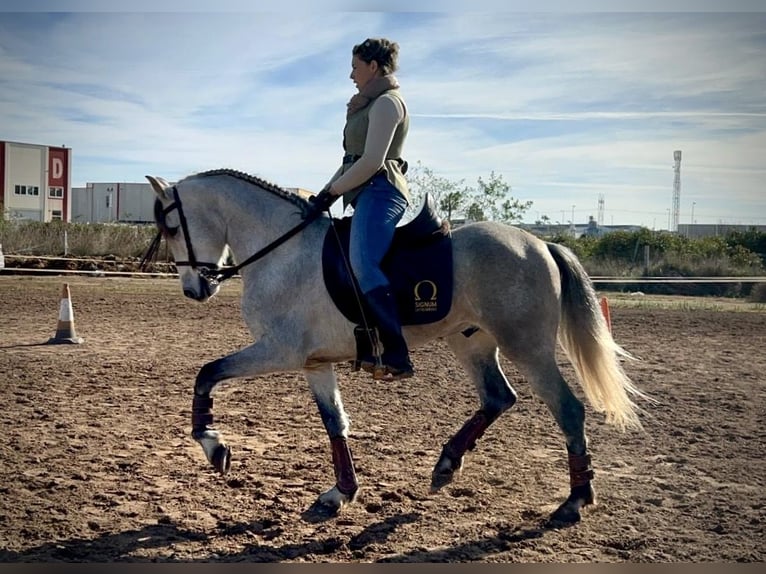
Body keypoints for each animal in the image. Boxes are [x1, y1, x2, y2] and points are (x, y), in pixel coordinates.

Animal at [146, 170, 656, 528]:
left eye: (170, 226)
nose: (195, 289)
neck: (280, 253)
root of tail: (541, 243)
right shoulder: (313, 362)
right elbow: (335, 424)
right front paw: (339, 494)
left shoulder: (279, 350)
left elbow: (207, 373)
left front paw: (213, 445)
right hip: (471, 341)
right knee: (498, 397)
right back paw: (447, 465)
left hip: (526, 346)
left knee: (567, 409)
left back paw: (573, 502)